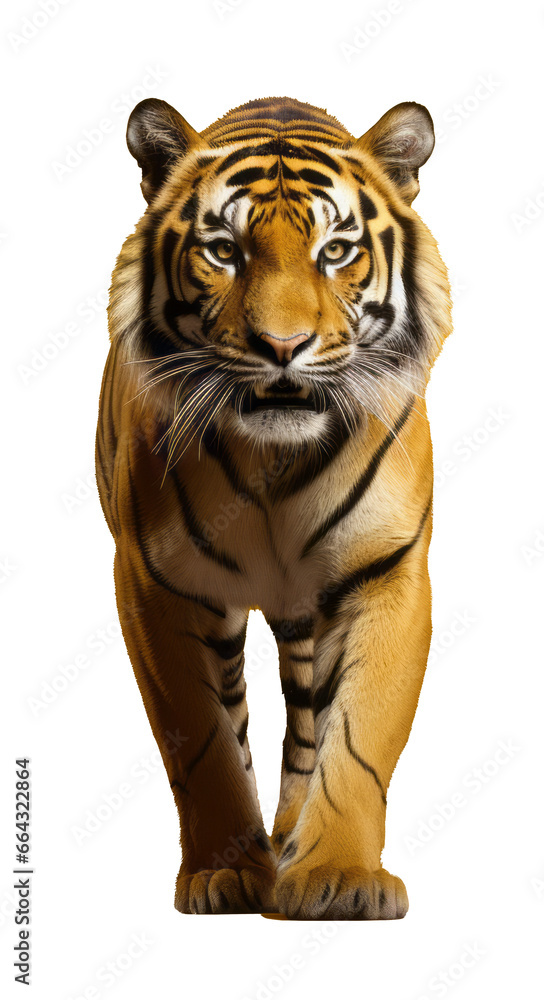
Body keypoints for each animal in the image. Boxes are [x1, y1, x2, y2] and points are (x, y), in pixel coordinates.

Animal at [96, 95, 452, 919]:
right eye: (224, 251)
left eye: (336, 251)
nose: (282, 346)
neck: (276, 460)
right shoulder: (158, 585)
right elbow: (203, 740)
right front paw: (225, 873)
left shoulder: (386, 572)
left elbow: (357, 738)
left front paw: (341, 874)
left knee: (308, 718)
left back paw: (293, 837)